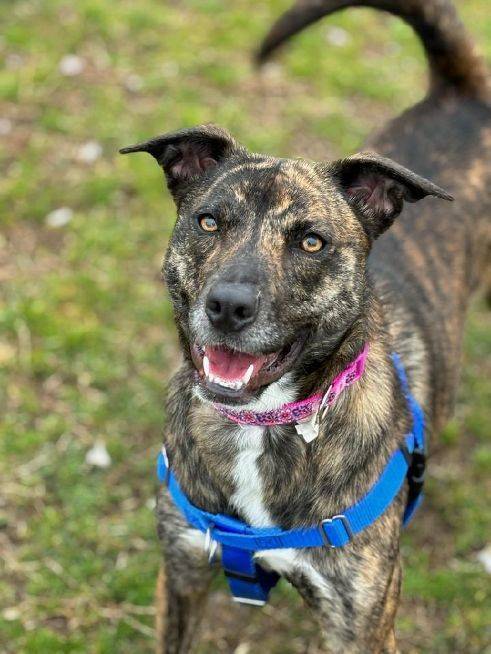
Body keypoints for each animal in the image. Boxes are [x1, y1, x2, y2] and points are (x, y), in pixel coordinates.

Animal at [121, 1, 490, 654]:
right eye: (208, 221)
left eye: (311, 242)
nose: (227, 306)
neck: (263, 423)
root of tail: (462, 94)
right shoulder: (182, 574)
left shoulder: (358, 623)